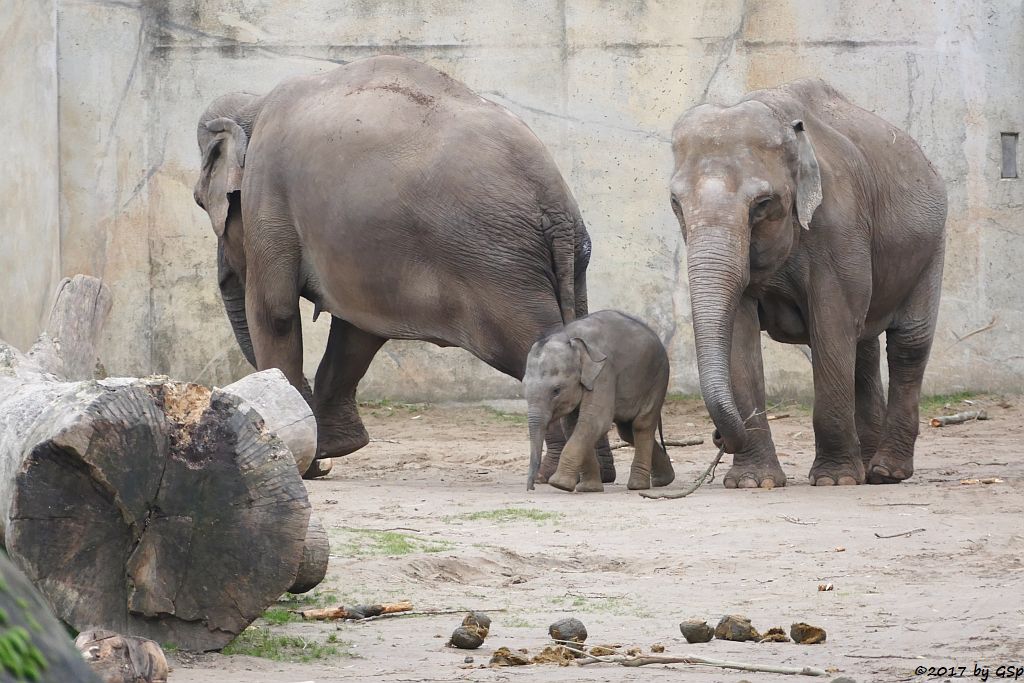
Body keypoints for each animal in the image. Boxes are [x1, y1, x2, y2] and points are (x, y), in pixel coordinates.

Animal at [192, 56, 606, 483]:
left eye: (200, 202)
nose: (319, 466)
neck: (255, 103)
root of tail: (553, 200)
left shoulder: (268, 193)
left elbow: (275, 313)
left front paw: (308, 461)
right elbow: (356, 331)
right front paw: (333, 449)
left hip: (501, 266)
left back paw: (556, 475)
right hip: (571, 259)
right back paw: (592, 474)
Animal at [524, 309, 675, 491]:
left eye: (556, 390)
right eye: (524, 387)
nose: (531, 487)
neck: (569, 337)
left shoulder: (604, 372)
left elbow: (594, 421)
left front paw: (560, 485)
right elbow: (573, 425)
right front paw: (588, 488)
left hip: (656, 378)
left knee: (641, 425)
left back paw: (638, 485)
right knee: (627, 431)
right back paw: (664, 479)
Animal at [667, 78, 946, 485]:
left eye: (762, 204)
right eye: (676, 203)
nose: (718, 437)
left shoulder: (840, 226)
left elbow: (831, 324)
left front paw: (834, 480)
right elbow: (739, 334)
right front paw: (754, 481)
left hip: (931, 247)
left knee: (908, 343)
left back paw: (885, 472)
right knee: (863, 347)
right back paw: (868, 466)